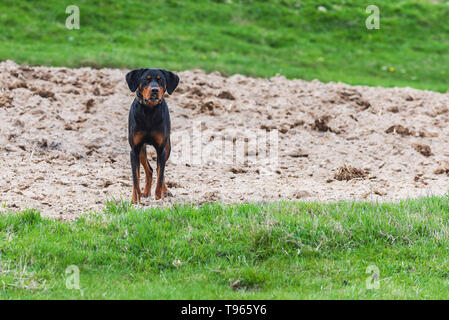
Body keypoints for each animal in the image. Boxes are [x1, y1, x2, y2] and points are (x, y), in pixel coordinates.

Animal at [125, 68, 179, 202]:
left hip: (167, 147)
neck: (149, 110)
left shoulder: (161, 149)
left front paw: (159, 198)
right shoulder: (135, 149)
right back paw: (145, 192)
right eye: (146, 79)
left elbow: (160, 176)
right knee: (149, 169)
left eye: (161, 80)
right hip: (141, 150)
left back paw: (165, 191)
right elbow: (135, 178)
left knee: (161, 171)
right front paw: (135, 199)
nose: (154, 90)